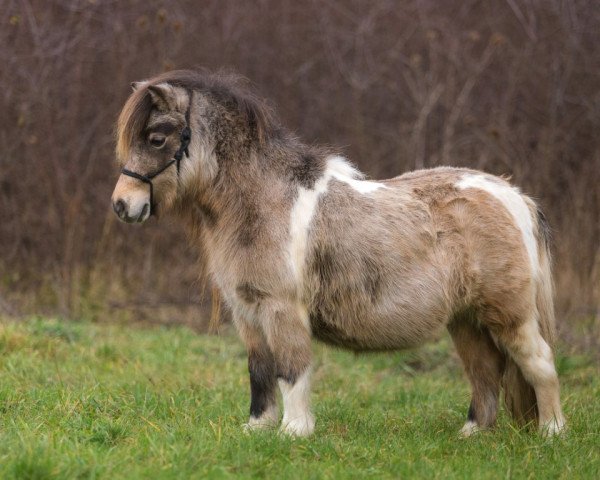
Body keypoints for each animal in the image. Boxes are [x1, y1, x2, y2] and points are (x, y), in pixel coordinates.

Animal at [110, 69, 564, 436]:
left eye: (156, 138)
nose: (123, 205)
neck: (262, 199)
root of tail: (513, 196)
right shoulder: (247, 313)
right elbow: (260, 372)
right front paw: (257, 428)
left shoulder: (281, 309)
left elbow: (292, 369)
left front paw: (294, 432)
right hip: (467, 320)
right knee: (485, 372)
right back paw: (471, 435)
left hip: (509, 316)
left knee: (539, 362)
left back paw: (551, 433)